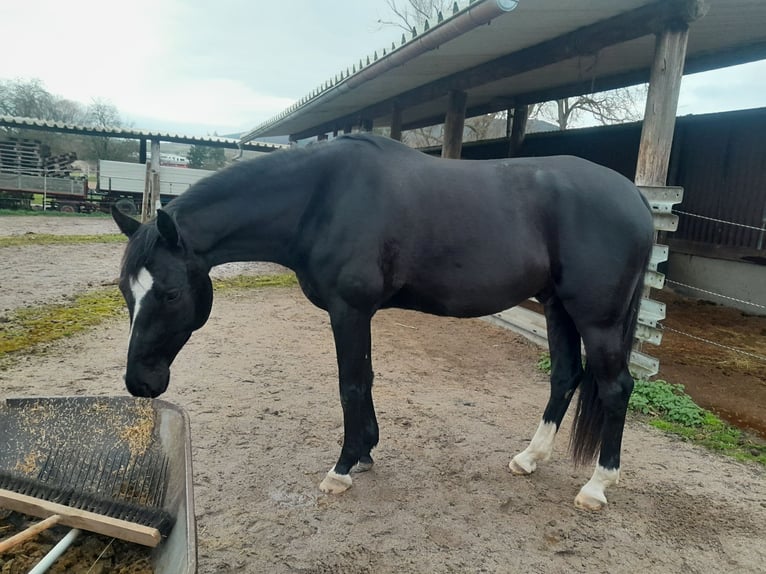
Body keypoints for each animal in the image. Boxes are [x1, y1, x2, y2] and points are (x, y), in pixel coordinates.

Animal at [112, 133, 654, 511]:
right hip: (559, 307)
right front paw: (367, 451)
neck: (321, 199)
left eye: (170, 293)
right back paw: (529, 458)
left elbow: (350, 383)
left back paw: (598, 486)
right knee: (566, 376)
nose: (140, 383)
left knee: (615, 388)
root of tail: (636, 197)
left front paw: (343, 467)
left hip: (597, 318)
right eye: (124, 290)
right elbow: (365, 379)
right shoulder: (357, 313)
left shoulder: (349, 310)